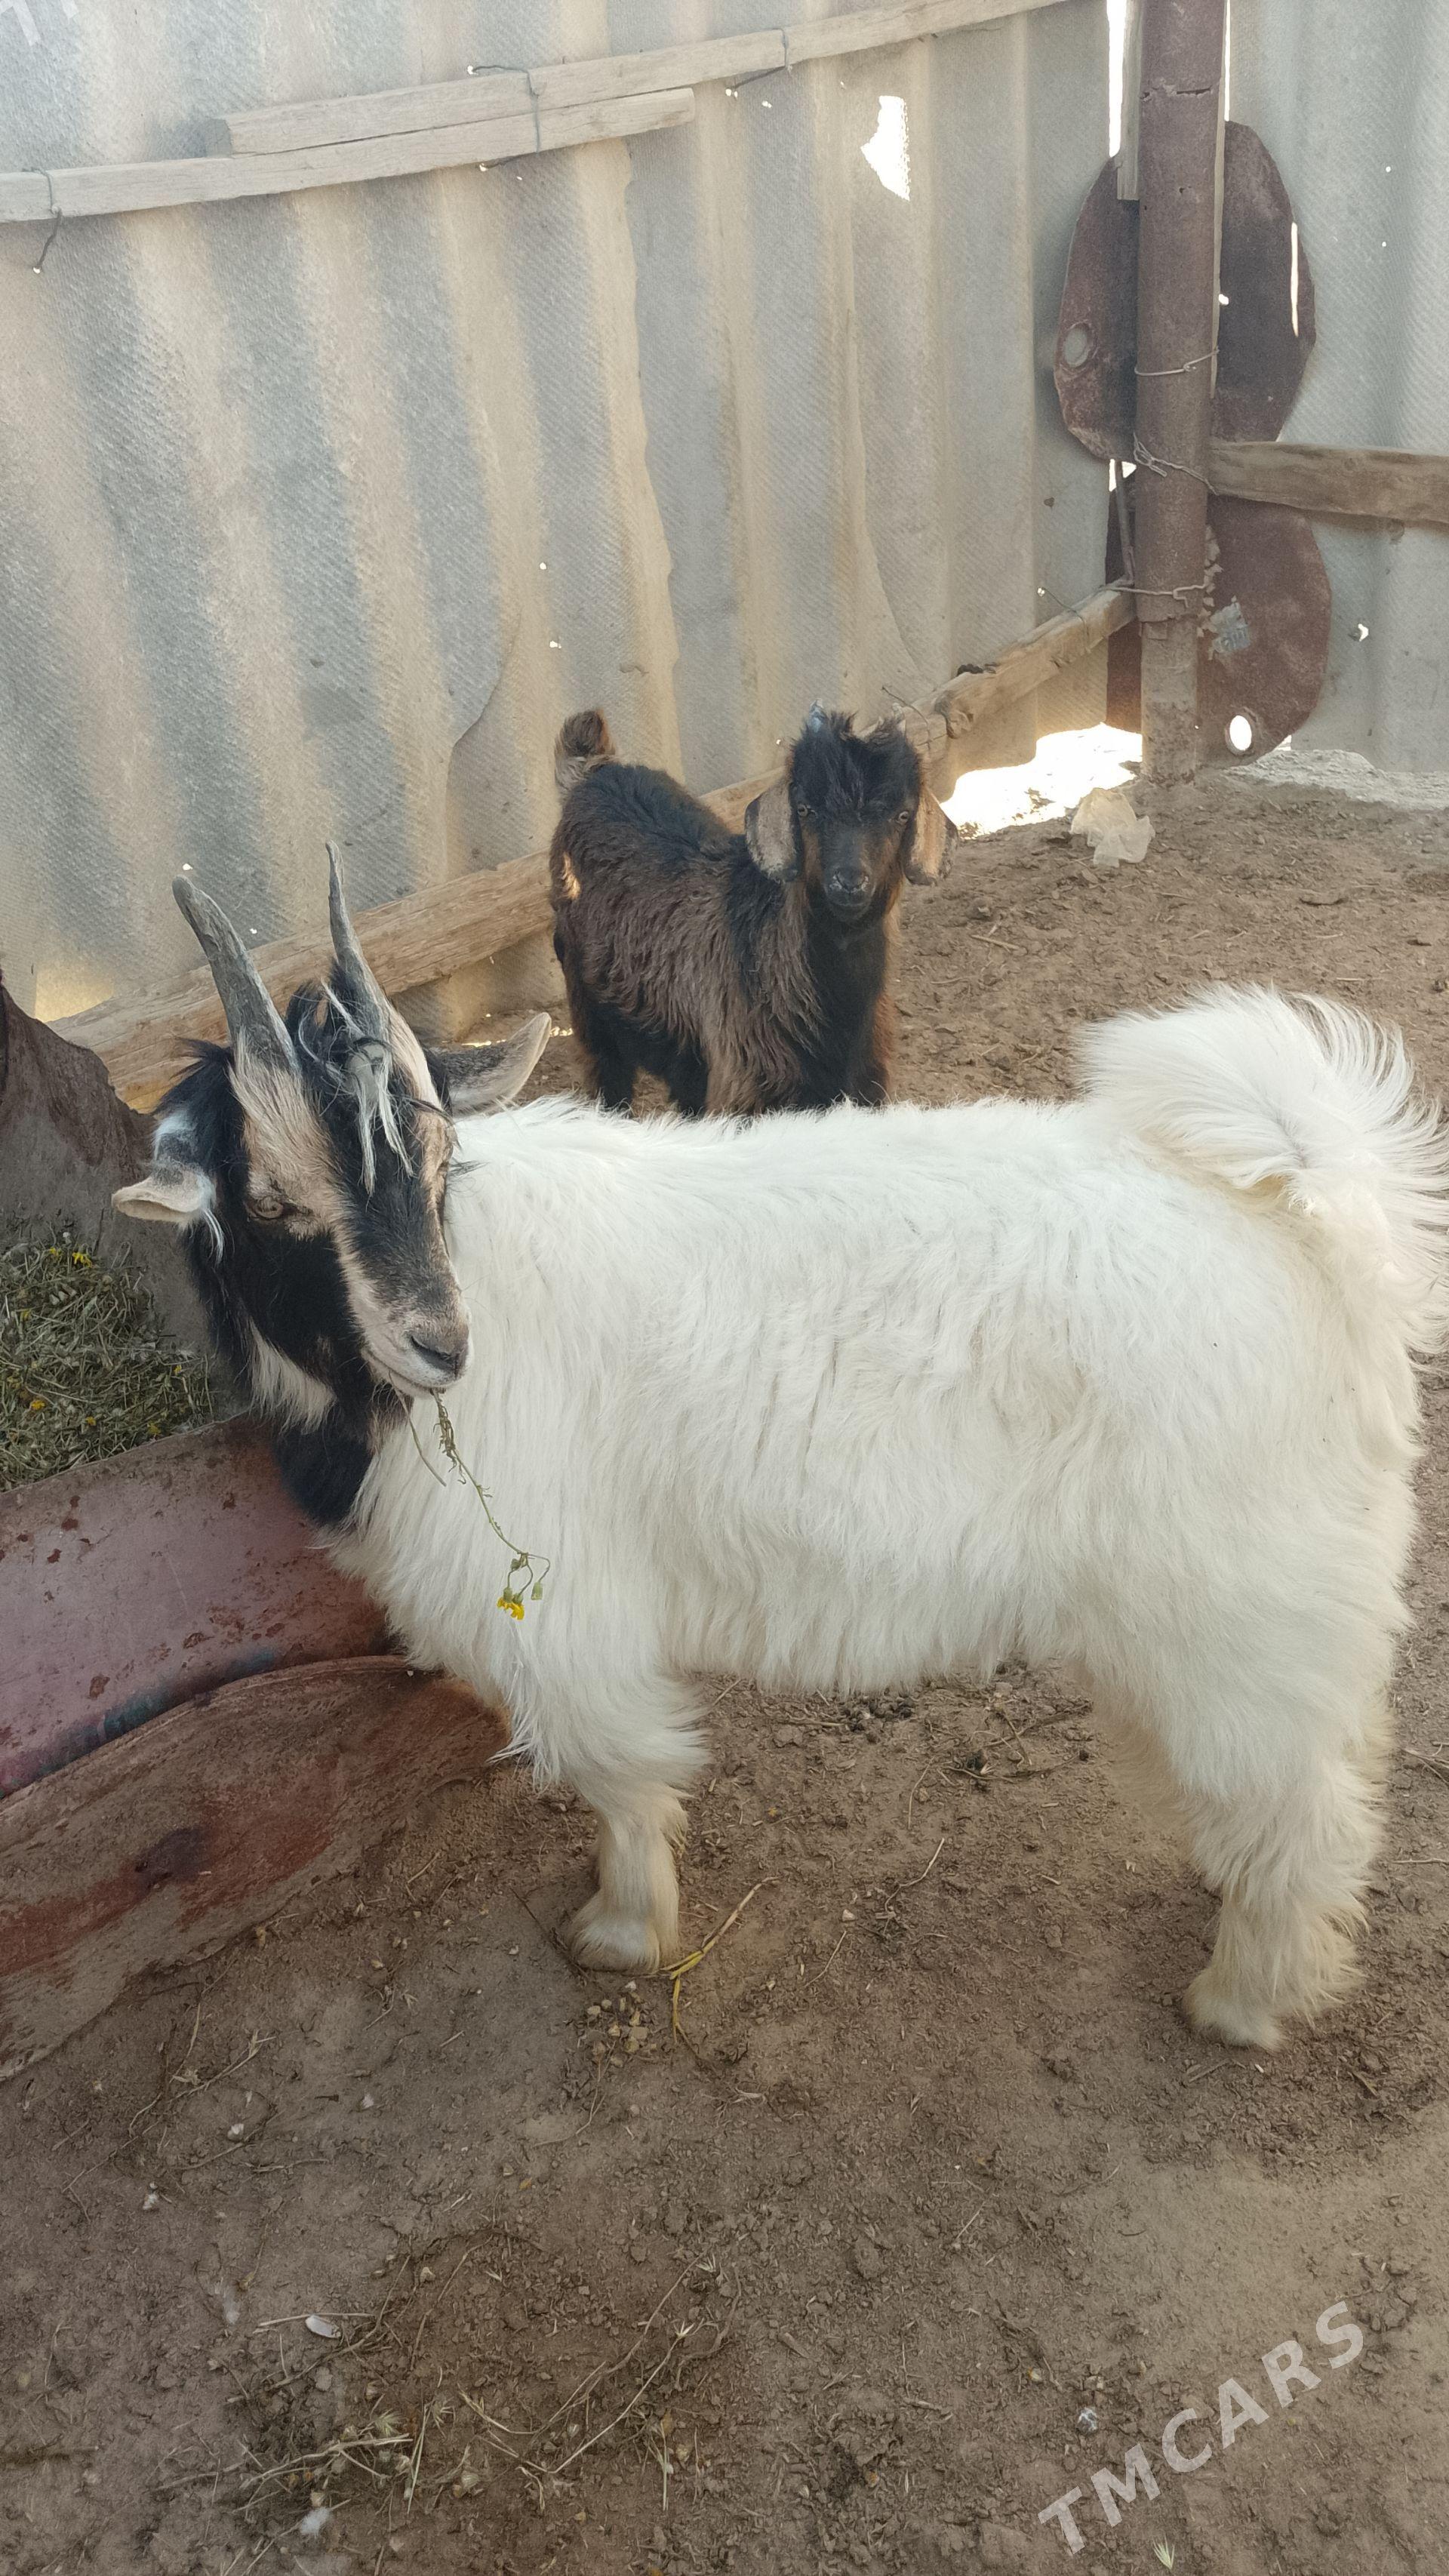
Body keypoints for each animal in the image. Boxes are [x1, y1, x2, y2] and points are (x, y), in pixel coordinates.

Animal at [117, 861, 1449, 2050]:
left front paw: (622, 1929)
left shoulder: (565, 1613)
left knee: (1307, 1812)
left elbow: (619, 1773)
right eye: (271, 1201)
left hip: (1248, 1610)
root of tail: (1317, 1226)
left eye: (444, 1163)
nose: (439, 1343)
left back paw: (1243, 1999)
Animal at [549, 705, 960, 1114]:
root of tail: (595, 771)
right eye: (805, 809)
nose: (849, 881)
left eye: (903, 815)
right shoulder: (744, 1088)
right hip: (590, 1014)